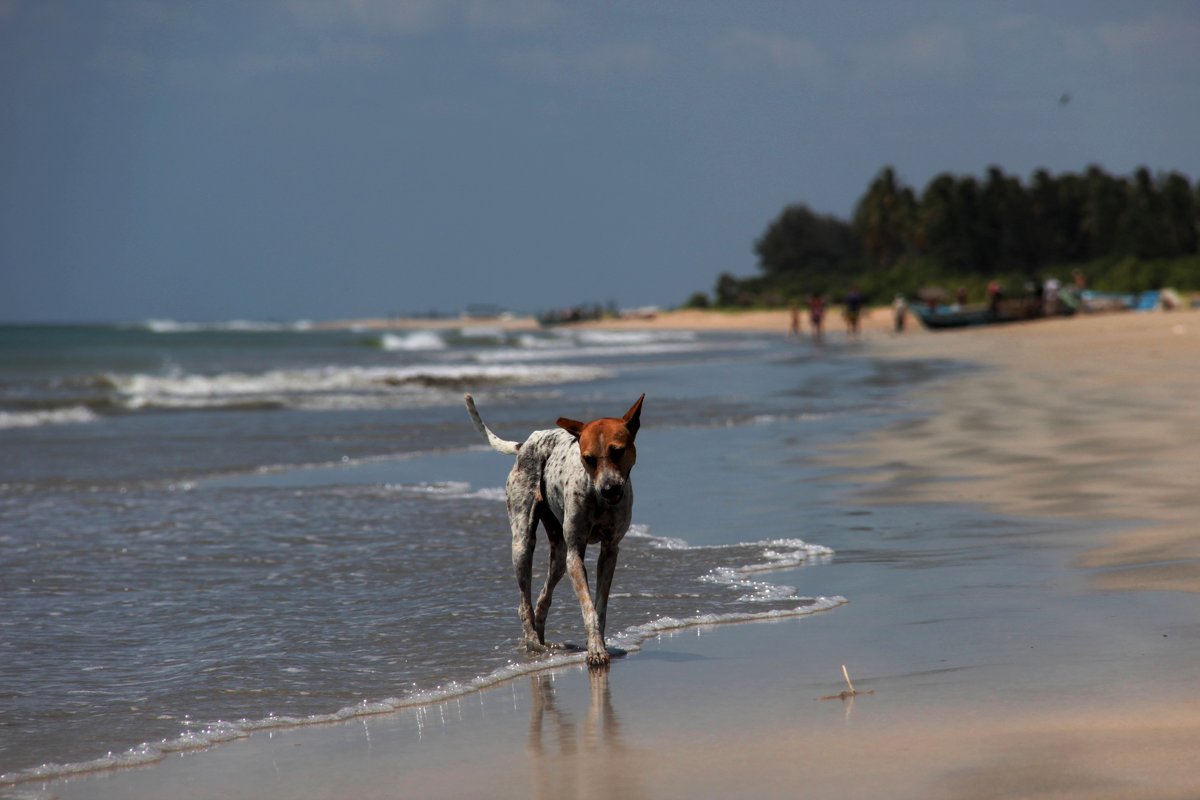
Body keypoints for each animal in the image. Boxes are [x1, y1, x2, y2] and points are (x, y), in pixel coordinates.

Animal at [460, 393, 648, 671]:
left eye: (617, 451)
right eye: (588, 458)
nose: (609, 489)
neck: (597, 497)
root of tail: (525, 444)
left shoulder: (610, 551)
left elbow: (600, 607)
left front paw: (600, 644)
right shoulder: (575, 554)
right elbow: (588, 609)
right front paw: (595, 650)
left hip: (558, 555)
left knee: (542, 599)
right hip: (523, 544)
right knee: (524, 604)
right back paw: (533, 643)